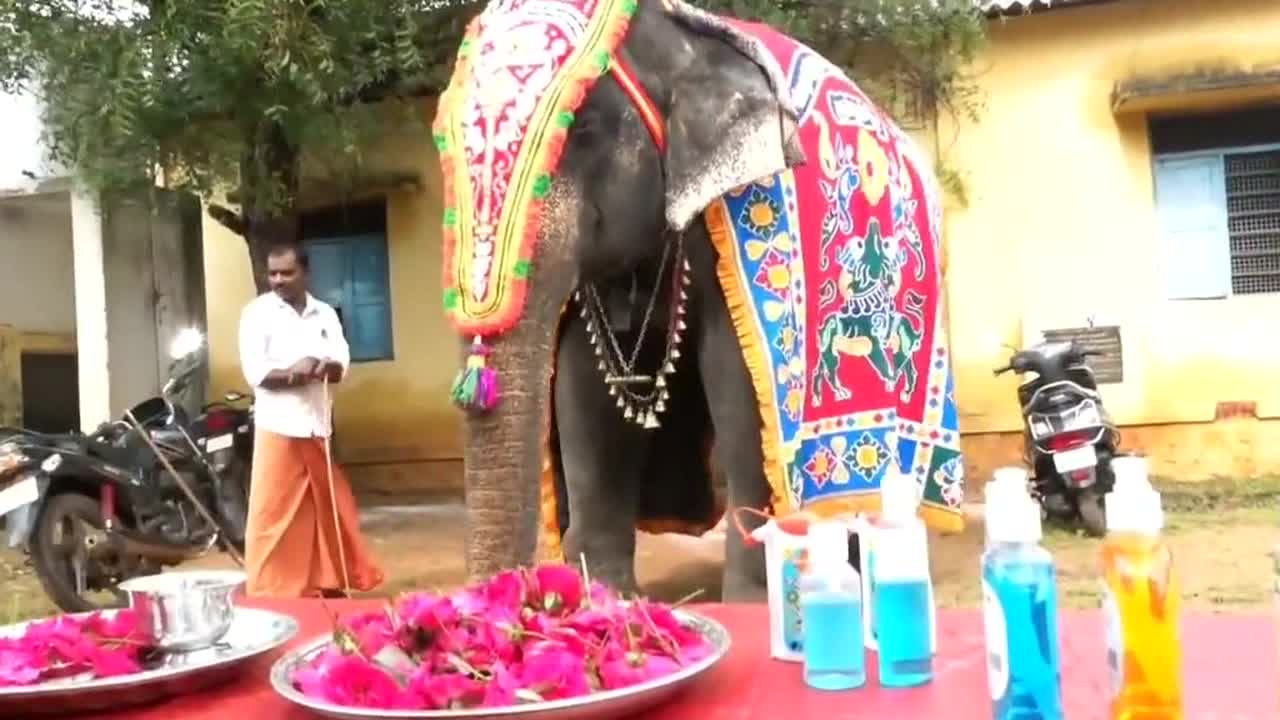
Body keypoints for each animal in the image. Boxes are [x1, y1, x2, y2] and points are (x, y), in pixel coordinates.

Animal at [435, 0, 962, 597]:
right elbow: (584, 388)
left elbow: (736, 377)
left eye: (585, 128)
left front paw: (752, 602)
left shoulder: (753, 207)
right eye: (440, 139)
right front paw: (610, 597)